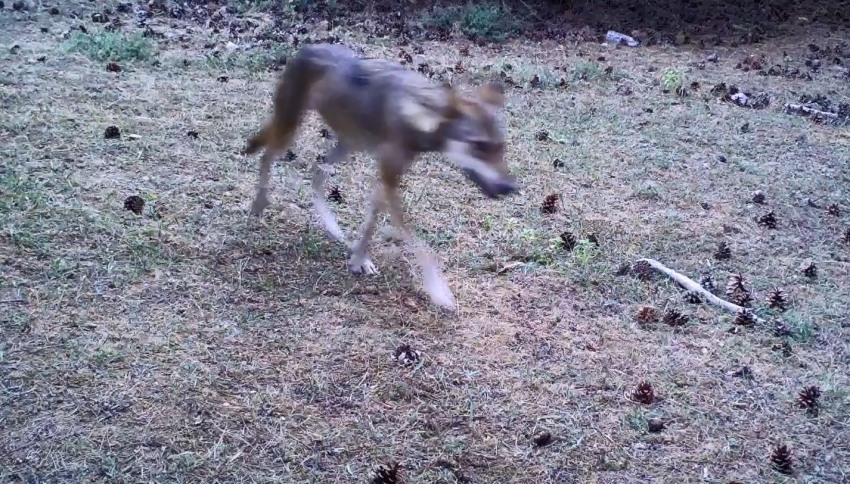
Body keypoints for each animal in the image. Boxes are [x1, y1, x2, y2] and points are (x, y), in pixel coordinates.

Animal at [242, 44, 512, 310]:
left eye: (500, 147)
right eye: (479, 146)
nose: (512, 187)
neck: (418, 112)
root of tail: (306, 47)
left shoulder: (388, 179)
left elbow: (373, 220)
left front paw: (358, 257)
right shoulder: (389, 180)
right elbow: (420, 245)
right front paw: (438, 291)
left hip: (348, 144)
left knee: (316, 170)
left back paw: (333, 228)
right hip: (291, 129)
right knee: (267, 155)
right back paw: (259, 205)